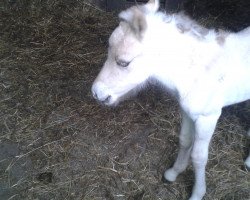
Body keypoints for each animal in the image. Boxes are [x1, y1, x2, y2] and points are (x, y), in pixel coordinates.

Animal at [91, 0, 250, 199]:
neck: (197, 71)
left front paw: (197, 193)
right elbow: (185, 140)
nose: (96, 92)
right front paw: (173, 173)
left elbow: (199, 157)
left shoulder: (208, 117)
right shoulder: (187, 112)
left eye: (124, 62)